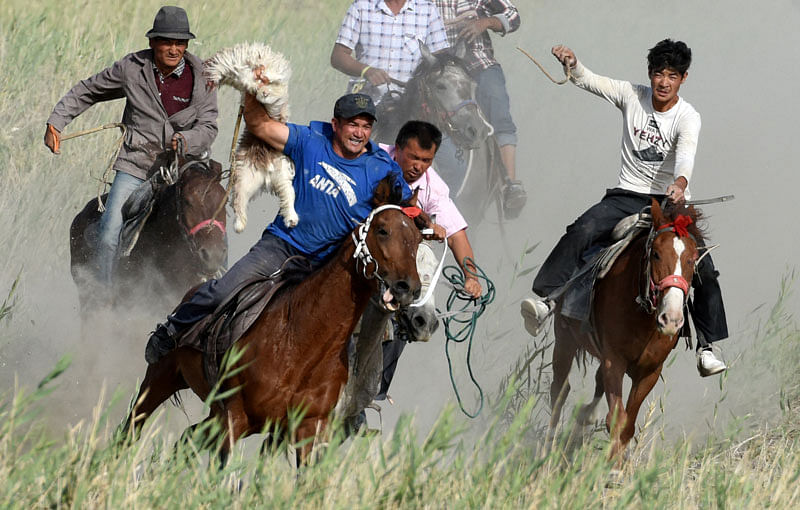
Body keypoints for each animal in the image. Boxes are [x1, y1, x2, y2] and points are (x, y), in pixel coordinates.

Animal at [119, 178, 424, 462]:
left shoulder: (304, 430)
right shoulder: (234, 418)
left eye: (418, 239)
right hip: (162, 378)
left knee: (186, 439)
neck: (300, 342)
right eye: (383, 230)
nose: (408, 287)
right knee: (132, 427)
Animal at [552, 198, 700, 458]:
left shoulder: (650, 371)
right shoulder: (614, 361)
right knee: (559, 391)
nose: (671, 320)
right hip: (564, 339)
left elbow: (628, 424)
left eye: (693, 258)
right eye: (656, 254)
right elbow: (617, 419)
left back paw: (585, 417)